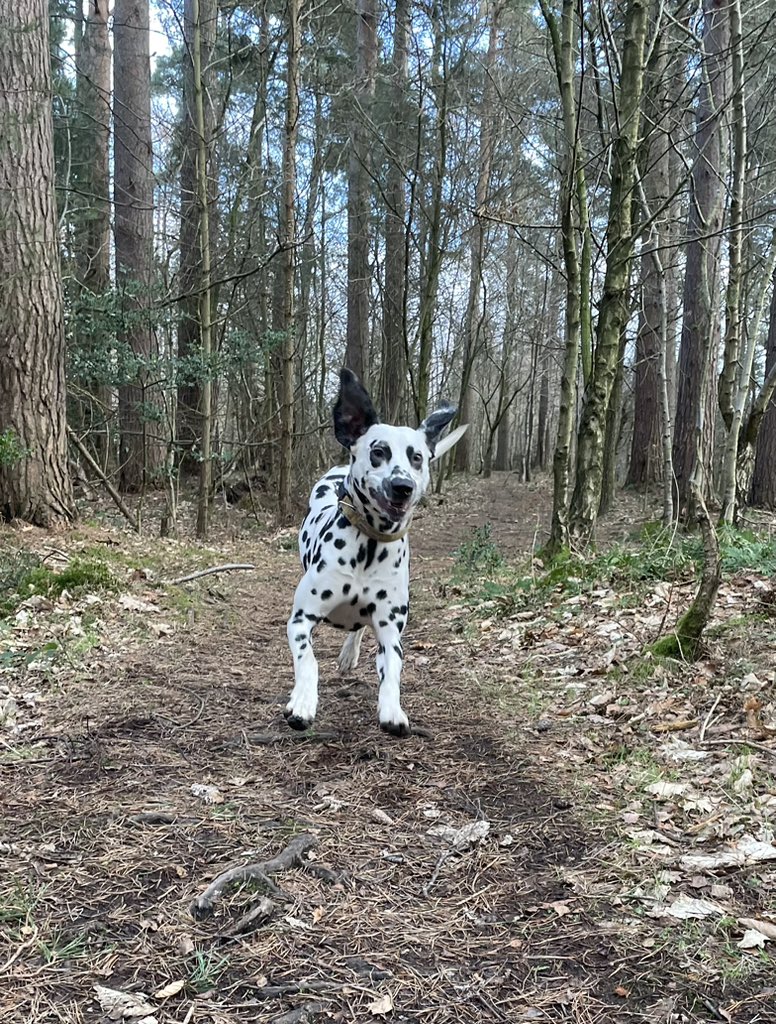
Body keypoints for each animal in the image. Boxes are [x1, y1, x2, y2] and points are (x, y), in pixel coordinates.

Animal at [286, 368, 468, 737]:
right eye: (379, 451)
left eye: (417, 457)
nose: (403, 486)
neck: (368, 546)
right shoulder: (300, 620)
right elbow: (308, 661)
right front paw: (303, 701)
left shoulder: (389, 631)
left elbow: (392, 672)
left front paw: (392, 709)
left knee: (357, 628)